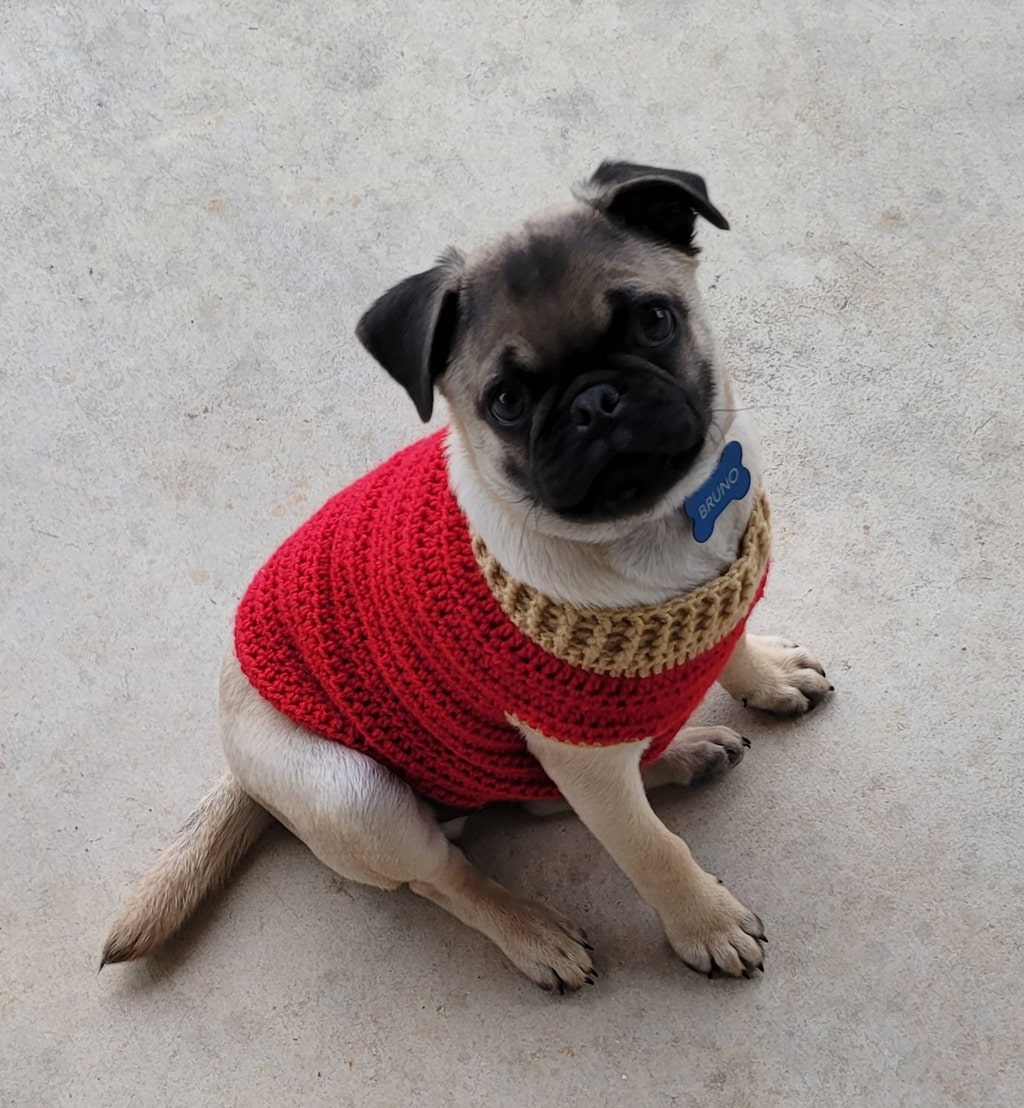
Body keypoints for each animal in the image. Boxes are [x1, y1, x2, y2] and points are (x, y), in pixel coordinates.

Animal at [101, 163, 833, 997]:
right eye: (507, 402)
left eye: (655, 322)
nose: (595, 400)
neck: (655, 530)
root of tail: (236, 761)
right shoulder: (574, 752)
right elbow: (652, 851)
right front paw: (703, 924)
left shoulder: (711, 613)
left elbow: (732, 649)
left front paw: (766, 674)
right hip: (359, 799)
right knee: (448, 876)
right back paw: (533, 932)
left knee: (547, 805)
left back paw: (684, 750)